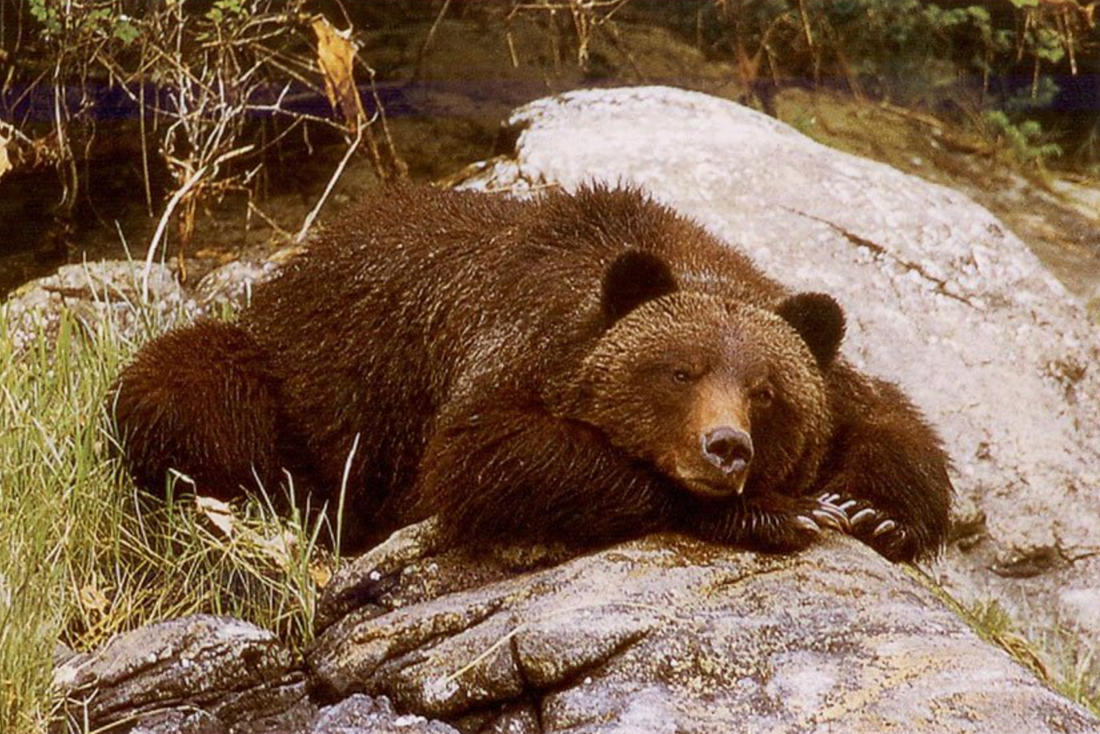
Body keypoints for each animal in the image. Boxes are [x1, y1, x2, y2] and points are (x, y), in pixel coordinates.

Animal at [110, 184, 953, 562]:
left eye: (767, 392)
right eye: (679, 371)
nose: (725, 447)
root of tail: (292, 267)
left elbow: (891, 419)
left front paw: (876, 510)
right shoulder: (510, 350)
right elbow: (489, 454)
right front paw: (778, 512)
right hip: (294, 378)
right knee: (178, 389)